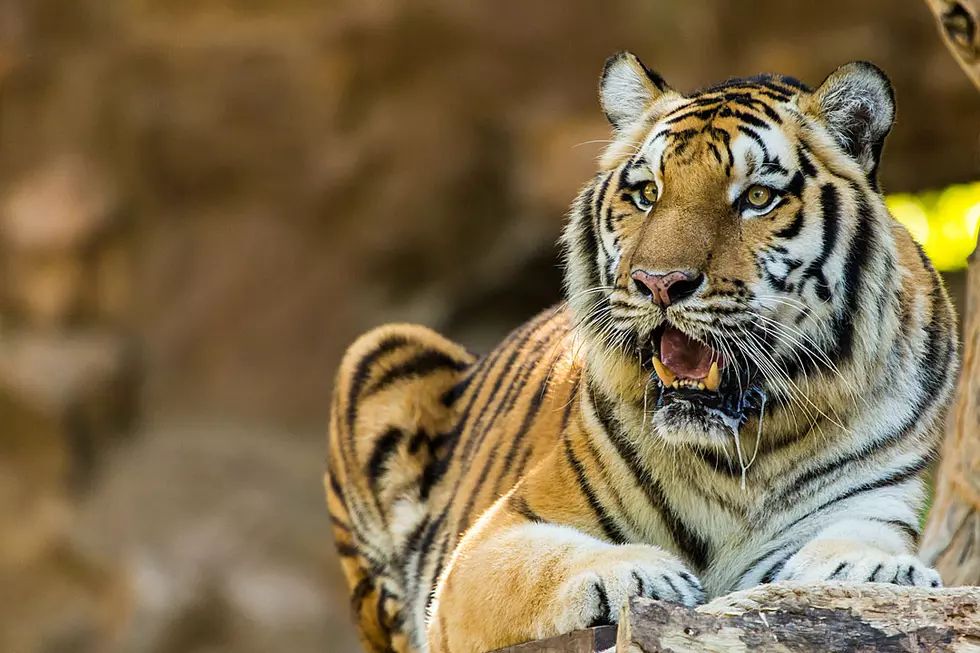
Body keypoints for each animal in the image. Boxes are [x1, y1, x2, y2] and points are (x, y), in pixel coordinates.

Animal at [326, 51, 960, 652]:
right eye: (647, 193)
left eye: (757, 197)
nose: (658, 283)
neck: (741, 452)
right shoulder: (488, 540)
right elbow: (543, 562)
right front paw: (637, 573)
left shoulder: (875, 498)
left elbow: (862, 542)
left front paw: (879, 569)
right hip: (378, 350)